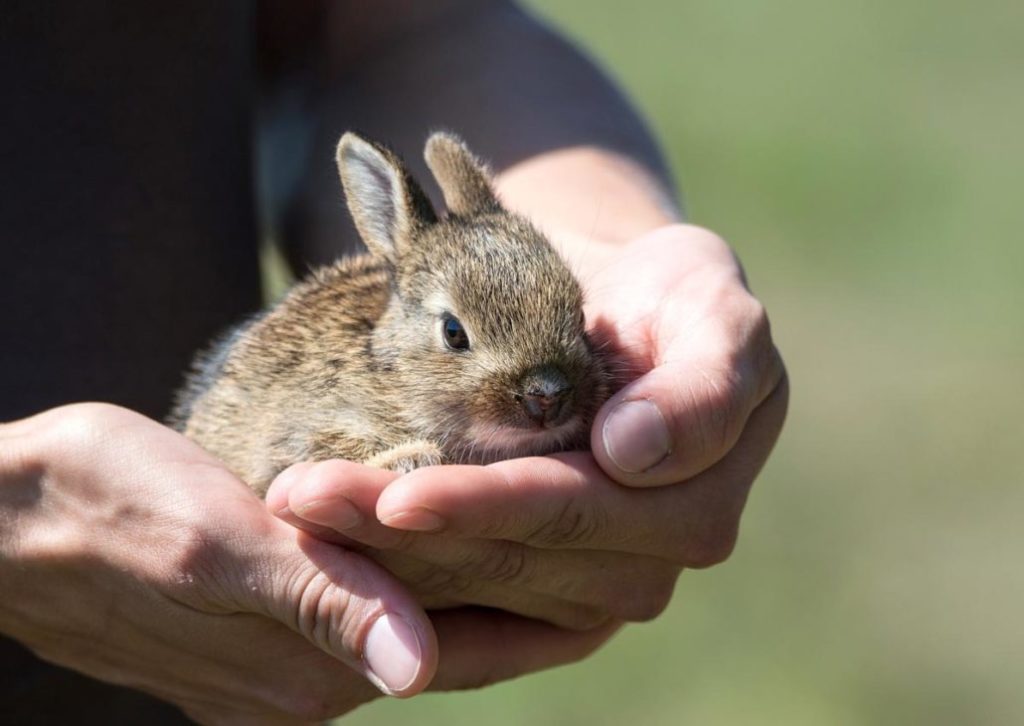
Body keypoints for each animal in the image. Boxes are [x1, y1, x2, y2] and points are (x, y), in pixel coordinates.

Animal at [171, 132, 606, 493]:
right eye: (453, 332)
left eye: (580, 317)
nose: (547, 394)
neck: (393, 376)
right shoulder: (297, 434)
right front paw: (412, 458)